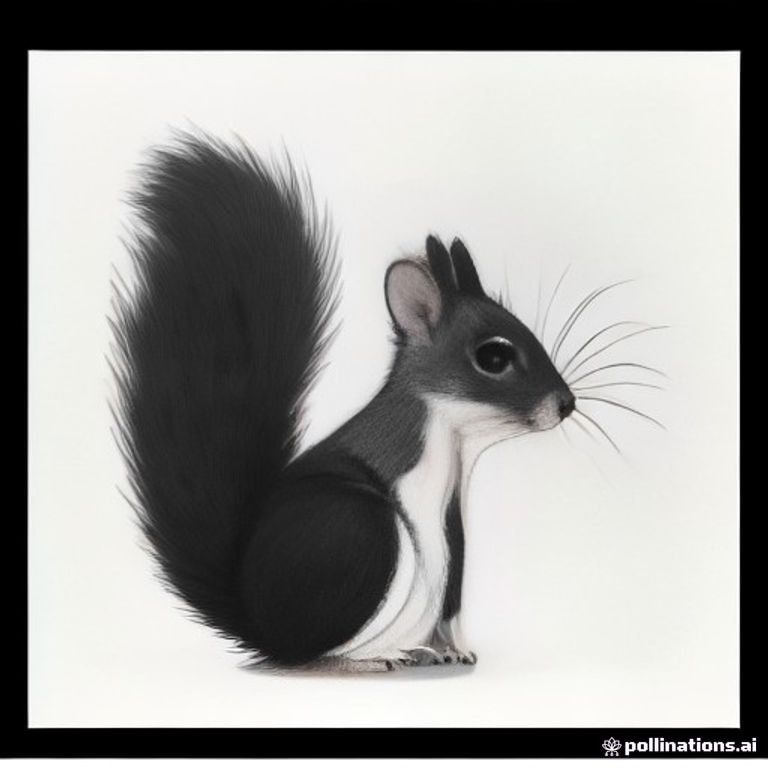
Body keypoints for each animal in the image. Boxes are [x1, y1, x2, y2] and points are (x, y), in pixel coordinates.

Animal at [112, 130, 576, 672]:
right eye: (494, 356)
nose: (565, 403)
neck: (452, 440)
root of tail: (258, 627)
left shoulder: (455, 522)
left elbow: (455, 600)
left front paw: (459, 650)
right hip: (359, 528)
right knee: (311, 654)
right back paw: (373, 658)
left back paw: (416, 650)